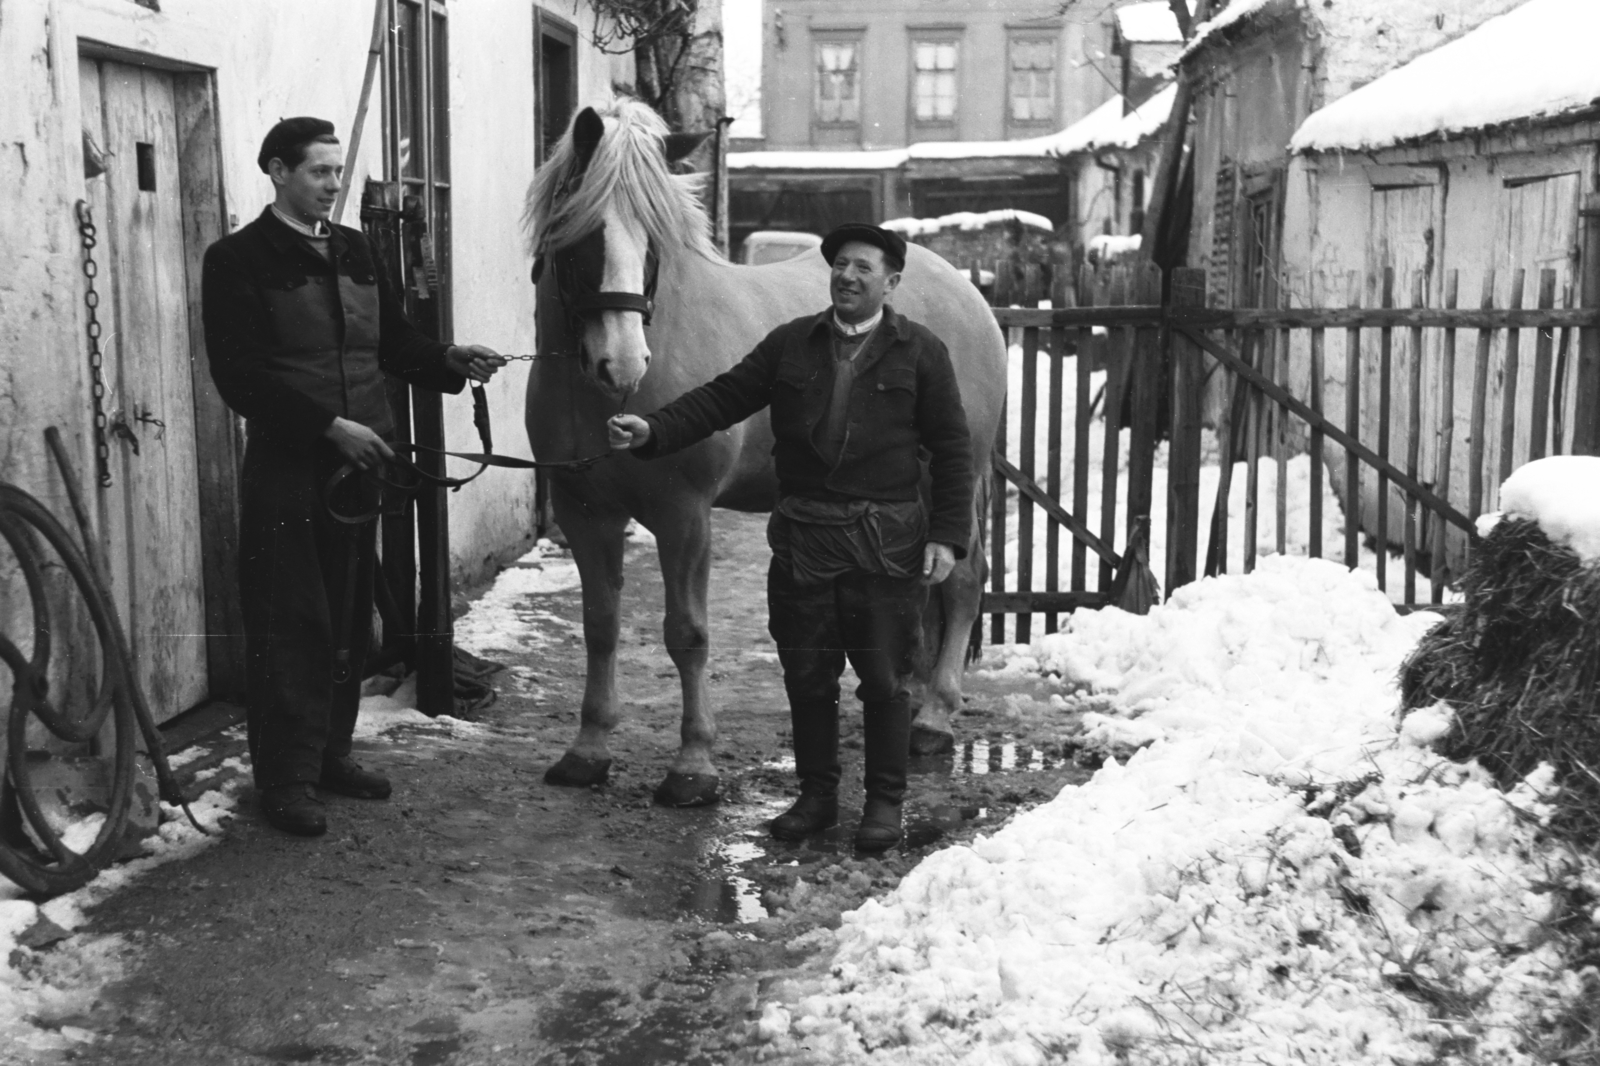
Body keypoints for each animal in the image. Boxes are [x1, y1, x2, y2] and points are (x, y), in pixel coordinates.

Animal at [521, 101, 998, 806]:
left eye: (653, 241)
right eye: (586, 236)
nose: (623, 365)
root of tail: (966, 292)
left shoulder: (684, 515)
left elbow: (687, 634)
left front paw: (693, 766)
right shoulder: (586, 513)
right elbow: (600, 625)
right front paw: (587, 750)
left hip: (949, 481)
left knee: (963, 582)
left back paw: (935, 717)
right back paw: (912, 700)